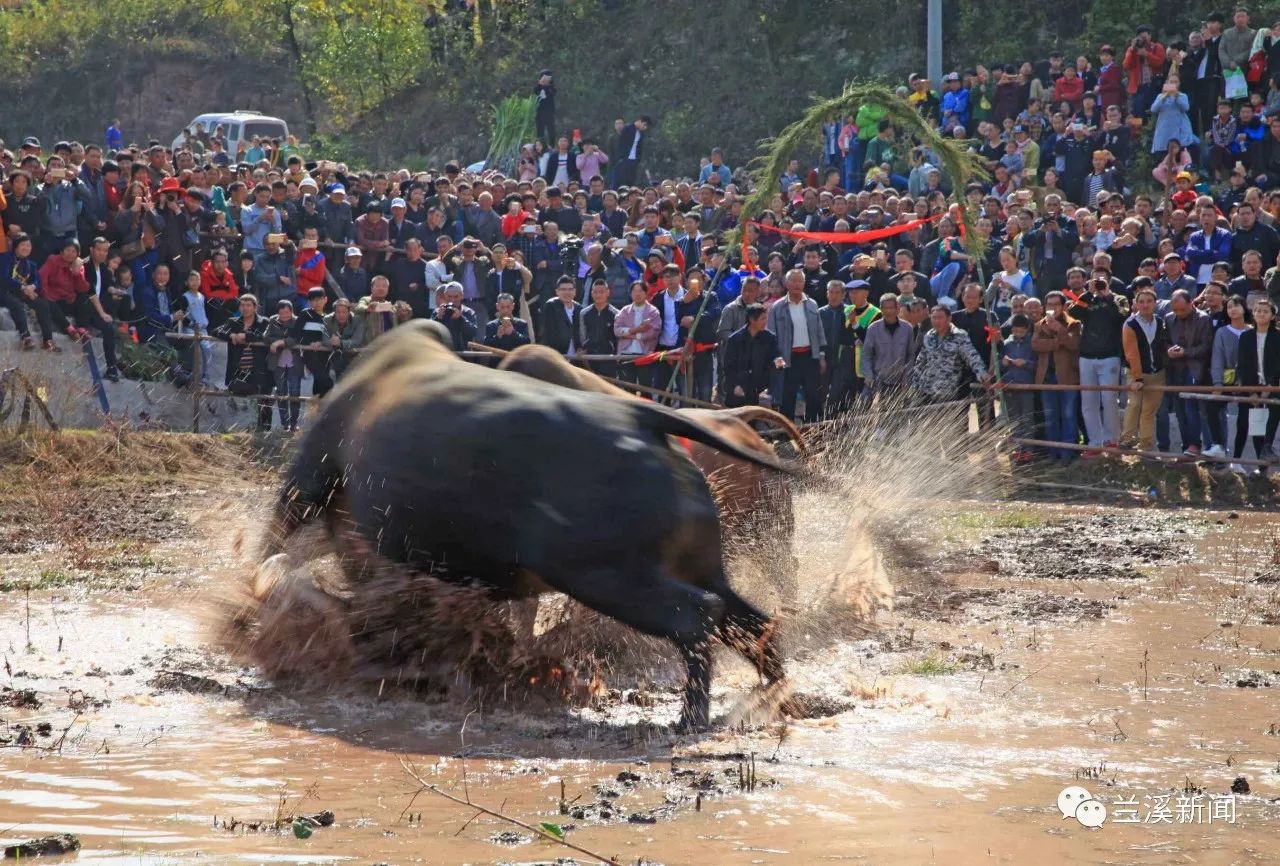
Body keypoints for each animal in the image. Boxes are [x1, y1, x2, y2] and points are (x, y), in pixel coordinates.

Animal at [264, 321, 793, 726]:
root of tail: (643, 418)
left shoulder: (307, 481)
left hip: (608, 576)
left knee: (699, 615)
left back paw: (691, 716)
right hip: (699, 564)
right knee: (745, 616)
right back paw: (773, 682)